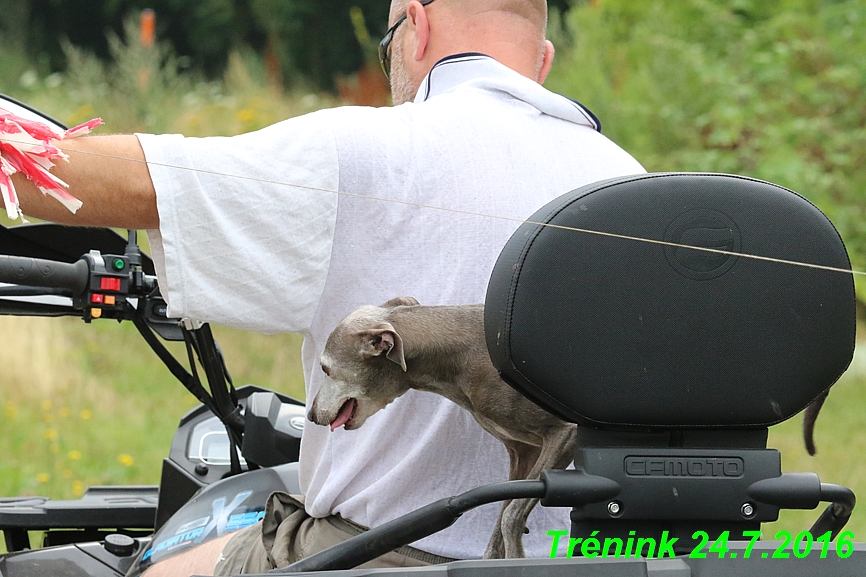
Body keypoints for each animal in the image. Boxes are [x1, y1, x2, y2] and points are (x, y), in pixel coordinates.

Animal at [308, 296, 576, 560]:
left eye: (325, 368)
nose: (311, 415)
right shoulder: (523, 451)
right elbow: (503, 518)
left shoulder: (566, 431)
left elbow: (510, 515)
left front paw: (517, 557)